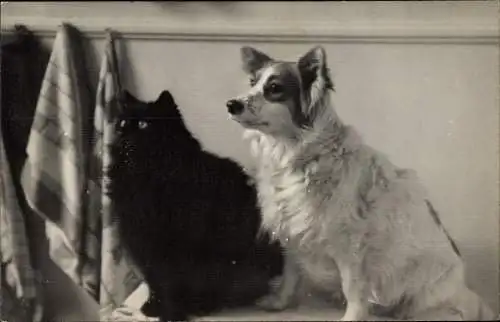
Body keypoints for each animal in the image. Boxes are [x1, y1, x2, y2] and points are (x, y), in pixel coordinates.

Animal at [107, 88, 284, 322]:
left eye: (144, 124)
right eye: (123, 123)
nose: (124, 136)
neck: (146, 177)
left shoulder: (178, 246)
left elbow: (171, 283)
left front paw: (171, 314)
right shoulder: (141, 242)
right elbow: (156, 281)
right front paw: (154, 307)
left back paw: (202, 306)